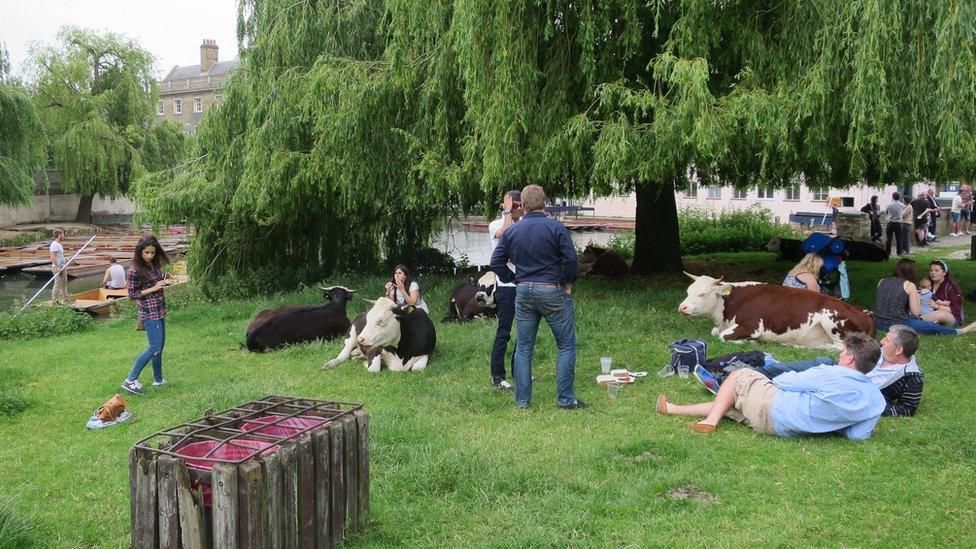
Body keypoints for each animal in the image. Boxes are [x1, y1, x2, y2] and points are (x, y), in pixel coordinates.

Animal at [680, 272, 876, 348]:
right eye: (688, 291)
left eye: (703, 294)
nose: (682, 307)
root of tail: (864, 313)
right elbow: (715, 332)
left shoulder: (752, 326)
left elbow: (722, 336)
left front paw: (751, 342)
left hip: (831, 320)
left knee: (838, 347)